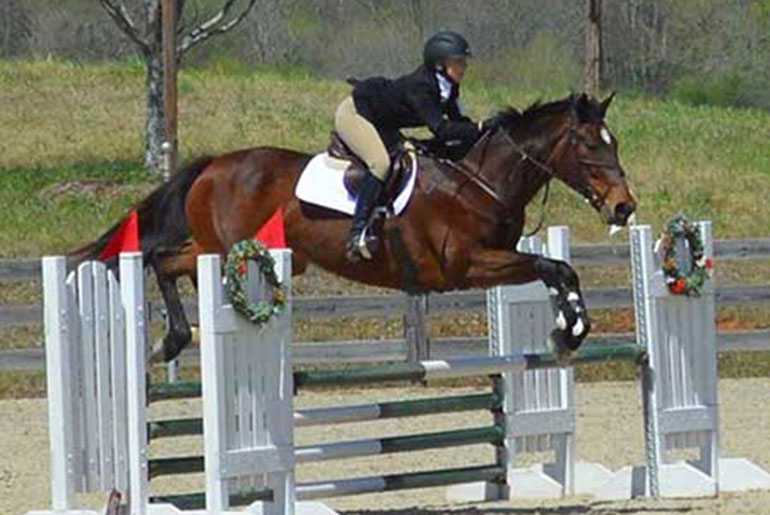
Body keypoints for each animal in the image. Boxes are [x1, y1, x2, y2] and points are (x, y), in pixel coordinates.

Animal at [70, 93, 636, 362]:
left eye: (615, 143)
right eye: (590, 145)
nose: (625, 208)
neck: (479, 179)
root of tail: (213, 164)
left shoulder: (497, 258)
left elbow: (559, 269)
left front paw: (570, 329)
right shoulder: (465, 266)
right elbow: (551, 265)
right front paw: (568, 332)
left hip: (242, 251)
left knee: (168, 261)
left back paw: (174, 339)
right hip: (229, 247)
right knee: (162, 260)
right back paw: (171, 340)